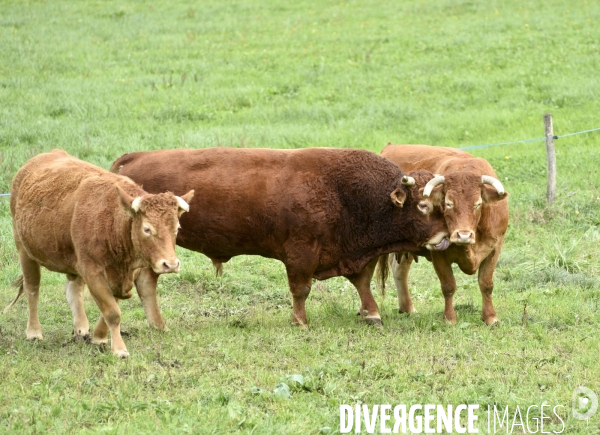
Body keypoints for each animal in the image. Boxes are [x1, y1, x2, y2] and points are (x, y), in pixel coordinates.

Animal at [7, 150, 195, 358]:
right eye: (147, 229)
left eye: (177, 227)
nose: (170, 264)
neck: (113, 222)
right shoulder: (92, 270)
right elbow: (112, 312)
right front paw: (119, 349)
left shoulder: (125, 273)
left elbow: (112, 305)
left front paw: (99, 337)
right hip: (24, 249)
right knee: (32, 288)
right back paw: (34, 332)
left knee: (73, 289)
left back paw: (81, 328)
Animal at [111, 148, 450, 328]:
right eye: (422, 205)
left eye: (440, 203)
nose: (446, 236)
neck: (345, 192)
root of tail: (131, 158)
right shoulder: (301, 254)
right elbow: (301, 290)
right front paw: (300, 321)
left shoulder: (351, 254)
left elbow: (362, 284)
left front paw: (372, 313)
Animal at [378, 145, 508, 326]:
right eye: (448, 203)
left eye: (478, 204)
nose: (463, 235)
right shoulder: (438, 253)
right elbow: (448, 286)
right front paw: (449, 318)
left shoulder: (495, 247)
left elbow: (486, 284)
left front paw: (490, 317)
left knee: (400, 270)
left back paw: (407, 308)